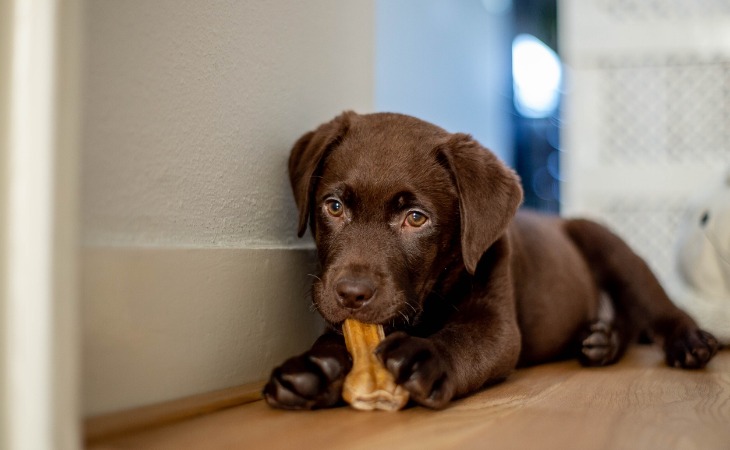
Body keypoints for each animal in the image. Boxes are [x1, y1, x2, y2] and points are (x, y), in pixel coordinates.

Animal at [264, 110, 716, 410]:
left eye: (416, 218)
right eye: (334, 207)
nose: (352, 294)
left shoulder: (496, 323)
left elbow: (464, 339)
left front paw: (424, 355)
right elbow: (334, 341)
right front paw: (314, 368)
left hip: (610, 247)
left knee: (658, 307)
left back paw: (690, 342)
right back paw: (602, 339)